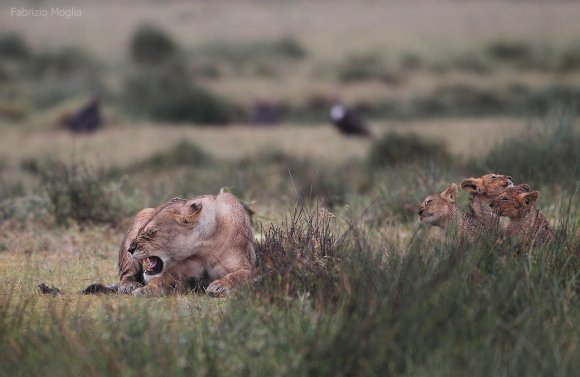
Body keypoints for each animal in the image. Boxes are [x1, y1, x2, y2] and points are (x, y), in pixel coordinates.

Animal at [114, 194, 255, 296]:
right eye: (141, 230)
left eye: (151, 232)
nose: (130, 249)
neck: (204, 248)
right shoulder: (178, 273)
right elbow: (160, 280)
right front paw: (144, 290)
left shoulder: (247, 268)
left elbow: (238, 276)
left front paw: (219, 286)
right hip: (143, 211)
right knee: (126, 274)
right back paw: (129, 286)